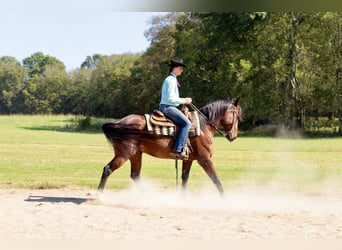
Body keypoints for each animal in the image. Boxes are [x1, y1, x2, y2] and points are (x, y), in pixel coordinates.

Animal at [97, 98, 242, 195]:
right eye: (236, 116)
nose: (233, 136)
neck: (203, 127)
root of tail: (119, 122)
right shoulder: (204, 159)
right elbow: (216, 179)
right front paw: (225, 200)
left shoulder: (188, 159)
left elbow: (184, 178)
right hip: (123, 155)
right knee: (108, 169)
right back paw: (100, 196)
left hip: (135, 154)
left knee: (135, 175)